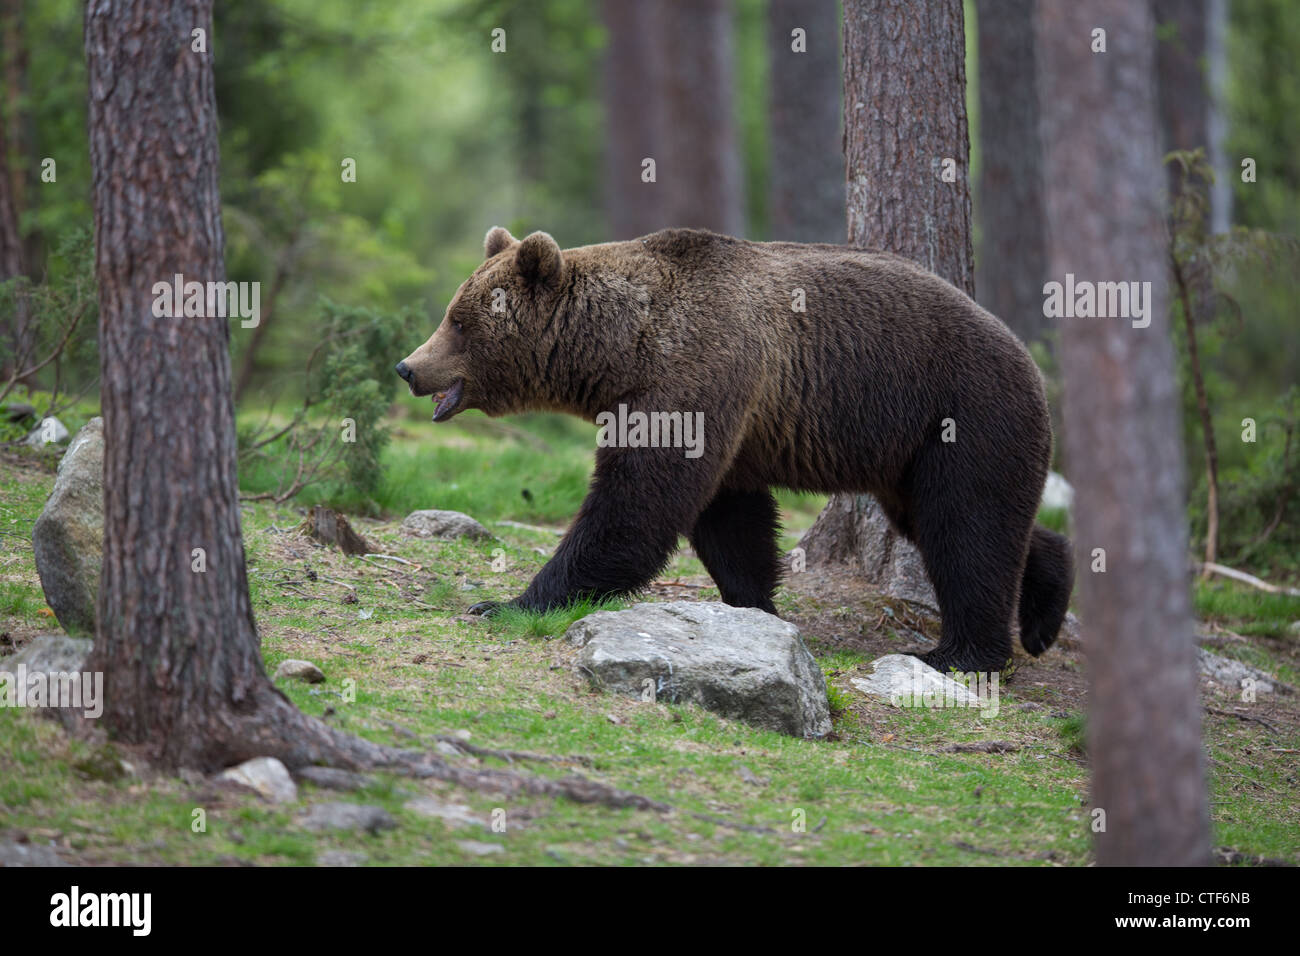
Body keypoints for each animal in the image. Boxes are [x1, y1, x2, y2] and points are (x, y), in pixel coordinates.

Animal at [396, 226, 1074, 674]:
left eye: (459, 321)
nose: (408, 366)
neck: (621, 351)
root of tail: (1030, 359)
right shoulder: (729, 419)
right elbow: (729, 518)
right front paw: (756, 604)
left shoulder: (695, 377)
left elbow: (634, 510)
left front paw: (507, 602)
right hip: (910, 454)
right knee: (953, 522)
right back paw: (1044, 610)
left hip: (962, 414)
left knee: (965, 525)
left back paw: (959, 653)